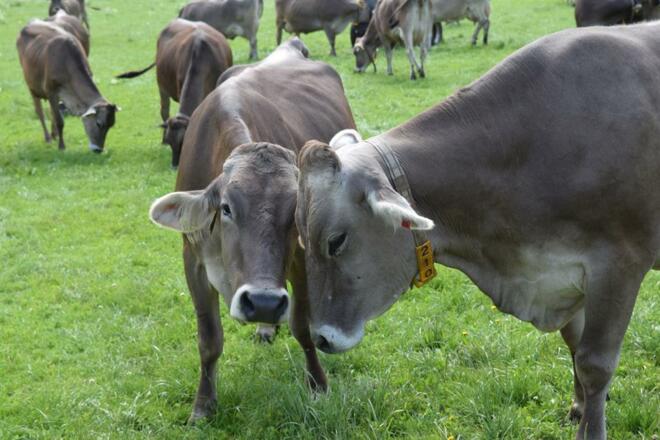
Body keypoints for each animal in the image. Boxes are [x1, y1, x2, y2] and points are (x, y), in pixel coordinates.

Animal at [17, 20, 116, 152]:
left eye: (111, 125)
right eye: (99, 123)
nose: (98, 149)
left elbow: (56, 115)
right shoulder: (51, 91)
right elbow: (60, 120)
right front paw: (61, 146)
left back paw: (54, 135)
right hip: (32, 85)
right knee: (39, 111)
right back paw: (48, 137)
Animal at [147, 38, 356, 422]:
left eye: (294, 213)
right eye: (226, 207)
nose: (263, 301)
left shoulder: (301, 258)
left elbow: (302, 326)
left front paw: (318, 386)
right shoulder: (192, 260)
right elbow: (209, 339)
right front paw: (203, 406)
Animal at [296, 23, 660, 440]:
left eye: (335, 241)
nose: (321, 336)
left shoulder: (619, 263)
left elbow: (594, 364)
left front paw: (591, 426)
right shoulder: (566, 272)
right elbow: (573, 342)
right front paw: (578, 407)